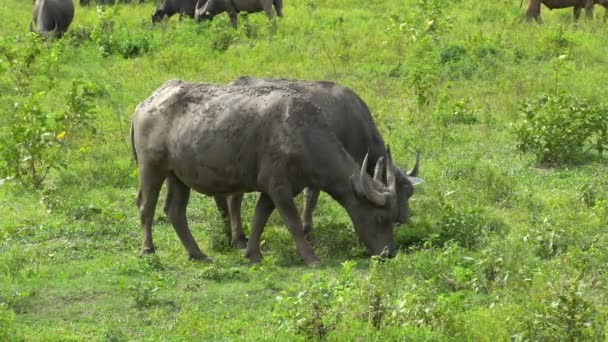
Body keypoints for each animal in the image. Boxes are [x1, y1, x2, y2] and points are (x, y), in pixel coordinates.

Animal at [132, 80, 400, 264]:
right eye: (380, 218)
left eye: (392, 217)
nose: (388, 252)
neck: (302, 134)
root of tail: (146, 103)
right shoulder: (279, 187)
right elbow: (292, 222)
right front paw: (311, 257)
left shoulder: (272, 188)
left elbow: (259, 218)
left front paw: (252, 253)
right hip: (152, 168)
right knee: (146, 206)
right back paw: (148, 249)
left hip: (178, 176)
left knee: (175, 211)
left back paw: (197, 253)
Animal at [215, 77, 422, 248]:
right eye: (401, 191)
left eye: (410, 193)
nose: (405, 220)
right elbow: (312, 197)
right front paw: (307, 230)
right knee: (234, 198)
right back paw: (238, 238)